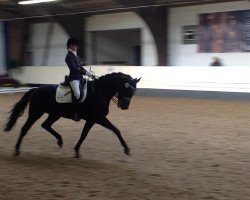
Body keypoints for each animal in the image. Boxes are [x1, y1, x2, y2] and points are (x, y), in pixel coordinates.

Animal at [4, 72, 141, 158]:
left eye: (134, 92)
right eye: (128, 89)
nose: (124, 107)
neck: (100, 91)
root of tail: (35, 89)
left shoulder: (92, 119)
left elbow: (84, 134)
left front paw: (76, 151)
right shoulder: (98, 117)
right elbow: (116, 130)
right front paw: (126, 149)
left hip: (55, 114)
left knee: (45, 125)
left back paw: (60, 141)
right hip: (36, 113)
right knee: (25, 128)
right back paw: (16, 150)